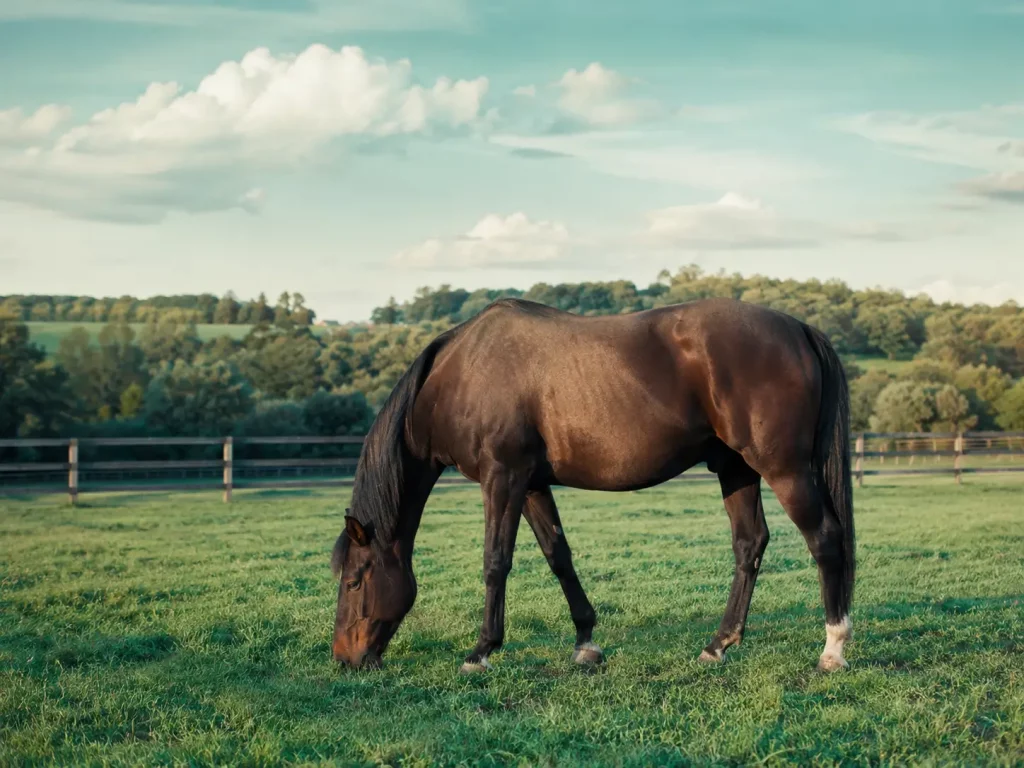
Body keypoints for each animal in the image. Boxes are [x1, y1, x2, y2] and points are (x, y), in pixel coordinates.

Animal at [330, 297, 855, 674]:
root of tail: (799, 328)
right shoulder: (531, 484)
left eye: (355, 580)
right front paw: (586, 643)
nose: (345, 658)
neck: (461, 373)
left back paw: (832, 650)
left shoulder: (502, 479)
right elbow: (557, 555)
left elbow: (496, 561)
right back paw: (717, 645)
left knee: (825, 539)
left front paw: (480, 652)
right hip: (736, 469)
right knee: (750, 545)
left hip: (784, 469)